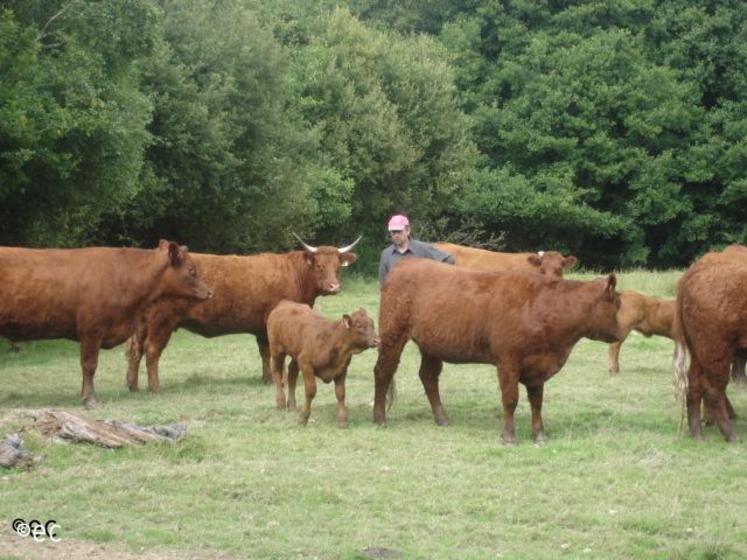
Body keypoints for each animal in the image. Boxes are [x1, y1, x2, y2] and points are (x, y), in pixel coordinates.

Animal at [0, 242, 210, 406]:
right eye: (191, 270)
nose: (209, 292)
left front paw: (83, 394)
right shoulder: (92, 329)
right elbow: (89, 364)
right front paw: (90, 399)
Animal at [125, 235, 360, 390]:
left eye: (337, 267)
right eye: (319, 266)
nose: (334, 287)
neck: (294, 274)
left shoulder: (261, 328)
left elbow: (264, 352)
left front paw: (267, 378)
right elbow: (274, 352)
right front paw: (281, 378)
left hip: (141, 325)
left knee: (134, 351)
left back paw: (132, 385)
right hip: (161, 322)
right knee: (151, 350)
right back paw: (154, 387)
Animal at [372, 260, 620, 446]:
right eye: (617, 304)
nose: (619, 333)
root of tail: (405, 264)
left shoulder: (538, 367)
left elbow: (536, 402)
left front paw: (539, 435)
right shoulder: (508, 360)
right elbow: (510, 399)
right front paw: (509, 436)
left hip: (431, 344)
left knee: (428, 376)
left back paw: (442, 418)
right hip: (393, 335)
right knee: (383, 372)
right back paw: (380, 418)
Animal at [676, 249, 747, 442]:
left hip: (700, 352)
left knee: (694, 384)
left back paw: (697, 433)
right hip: (717, 350)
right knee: (713, 390)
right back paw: (730, 435)